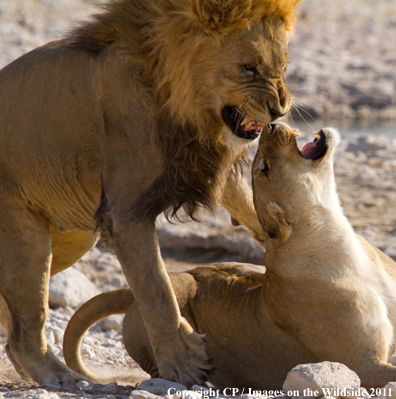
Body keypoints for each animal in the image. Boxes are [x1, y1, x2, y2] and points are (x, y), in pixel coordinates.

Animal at [0, 0, 300, 390]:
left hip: (71, 238)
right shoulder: (126, 213)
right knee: (25, 332)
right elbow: (157, 289)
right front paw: (184, 364)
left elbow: (249, 206)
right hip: (24, 236)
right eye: (248, 68)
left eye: (284, 67)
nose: (280, 109)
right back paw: (63, 377)